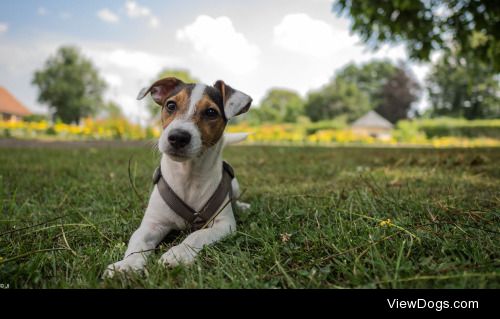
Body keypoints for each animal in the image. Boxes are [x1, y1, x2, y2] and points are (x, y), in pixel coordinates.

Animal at [104, 77, 252, 278]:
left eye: (211, 112)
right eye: (171, 105)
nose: (178, 137)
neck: (187, 176)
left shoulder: (224, 225)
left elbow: (197, 235)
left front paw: (178, 254)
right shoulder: (152, 224)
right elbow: (138, 241)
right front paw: (127, 265)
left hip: (234, 186)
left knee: (234, 199)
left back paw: (242, 206)